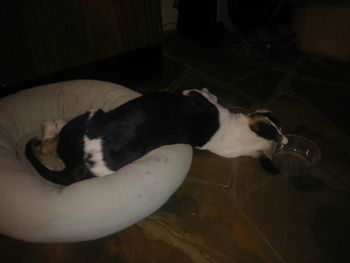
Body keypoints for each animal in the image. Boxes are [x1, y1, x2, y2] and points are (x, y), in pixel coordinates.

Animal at [25, 89, 288, 187]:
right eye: (274, 120)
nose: (285, 140)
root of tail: (81, 165)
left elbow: (200, 93)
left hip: (90, 115)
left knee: (47, 146)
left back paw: (51, 126)